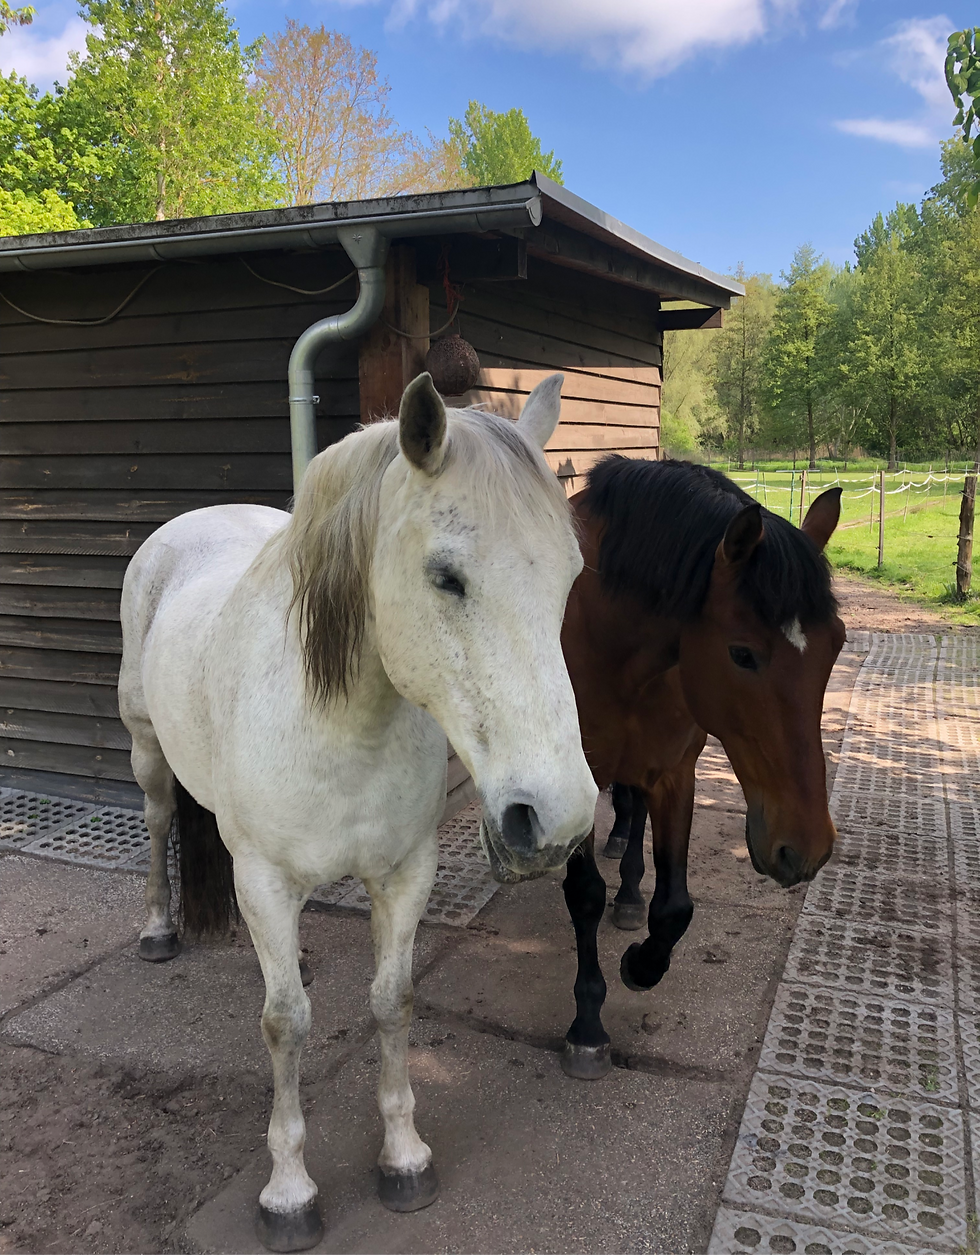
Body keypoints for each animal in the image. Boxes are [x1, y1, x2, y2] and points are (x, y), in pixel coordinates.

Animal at [118, 373, 598, 1252]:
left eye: (569, 576)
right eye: (446, 576)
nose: (557, 820)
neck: (342, 720)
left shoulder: (405, 874)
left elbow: (391, 999)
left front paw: (404, 1156)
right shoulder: (266, 880)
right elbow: (284, 1024)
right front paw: (288, 1190)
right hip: (146, 753)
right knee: (161, 820)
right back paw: (159, 928)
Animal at [554, 456, 844, 1080]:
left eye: (836, 646)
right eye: (742, 653)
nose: (805, 847)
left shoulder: (674, 773)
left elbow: (675, 906)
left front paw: (641, 963)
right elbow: (584, 894)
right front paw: (587, 1025)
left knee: (633, 814)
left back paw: (629, 892)